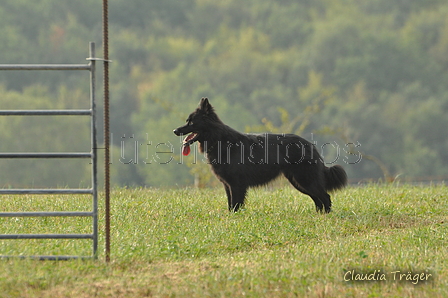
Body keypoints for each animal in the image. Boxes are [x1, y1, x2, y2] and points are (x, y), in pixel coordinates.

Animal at [174, 98, 346, 212]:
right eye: (187, 121)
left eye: (191, 122)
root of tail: (311, 145)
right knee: (318, 199)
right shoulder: (227, 185)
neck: (218, 139)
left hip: (304, 179)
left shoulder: (236, 184)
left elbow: (235, 205)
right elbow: (230, 205)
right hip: (298, 181)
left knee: (325, 197)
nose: (175, 130)